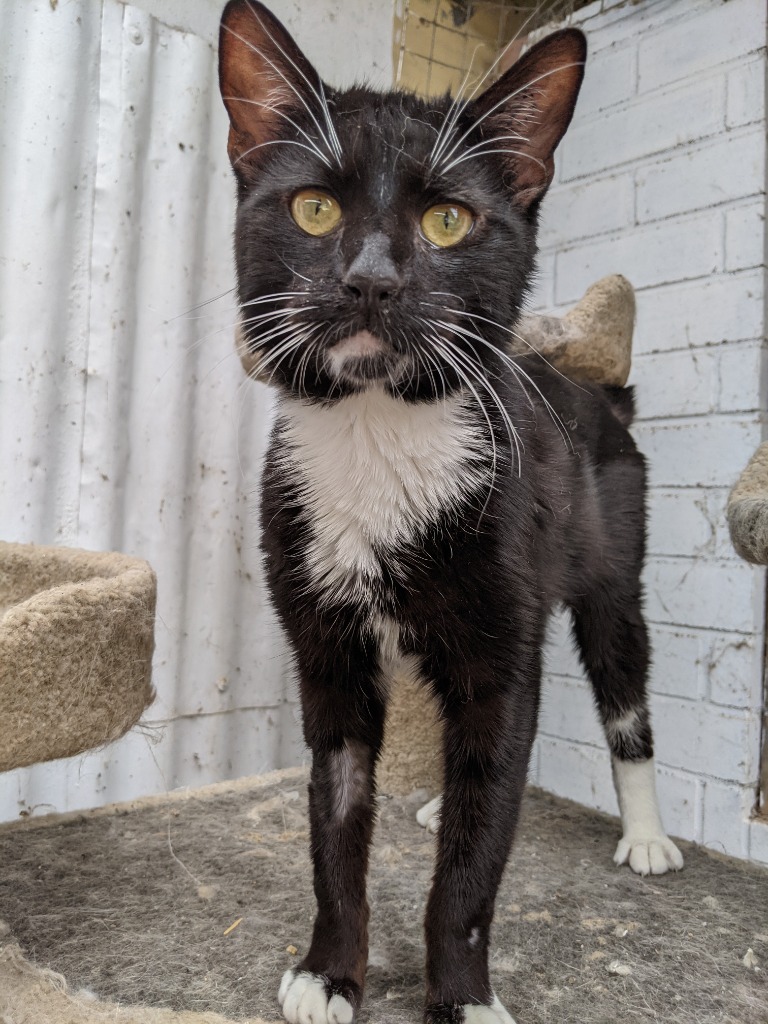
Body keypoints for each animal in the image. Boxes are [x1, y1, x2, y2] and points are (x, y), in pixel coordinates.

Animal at [217, 3, 684, 1022]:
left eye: (448, 221)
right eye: (314, 209)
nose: (371, 280)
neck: (379, 430)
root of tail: (600, 393)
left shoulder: (501, 644)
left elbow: (474, 861)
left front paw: (462, 996)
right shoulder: (326, 649)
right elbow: (335, 816)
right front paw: (329, 970)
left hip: (611, 566)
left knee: (622, 690)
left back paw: (646, 833)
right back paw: (440, 798)